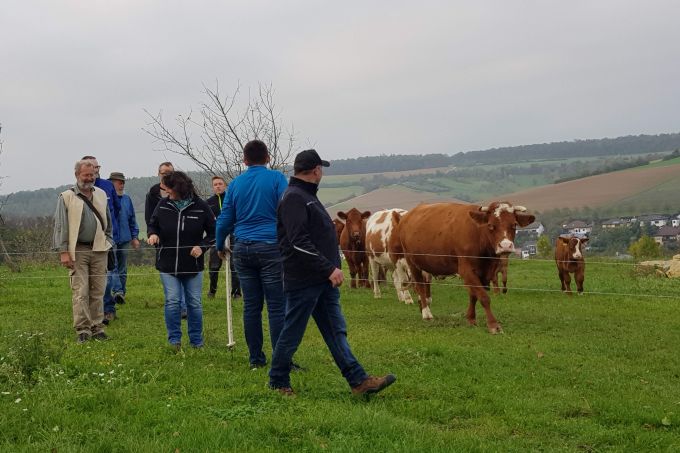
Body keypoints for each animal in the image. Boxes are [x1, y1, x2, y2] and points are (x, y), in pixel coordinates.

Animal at [396, 201, 532, 332]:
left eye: (514, 225)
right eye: (490, 225)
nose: (505, 246)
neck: (478, 234)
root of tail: (407, 216)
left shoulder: (483, 273)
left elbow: (474, 295)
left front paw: (471, 319)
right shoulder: (466, 270)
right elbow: (483, 297)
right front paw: (493, 325)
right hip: (412, 262)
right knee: (419, 286)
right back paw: (426, 313)